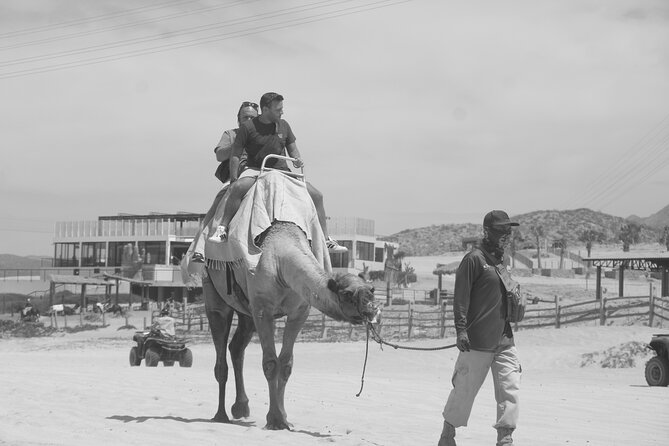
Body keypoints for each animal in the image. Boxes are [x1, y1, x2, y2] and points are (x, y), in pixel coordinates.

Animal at [203, 220, 378, 430]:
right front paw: (274, 419)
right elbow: (271, 363)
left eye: (371, 289)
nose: (372, 309)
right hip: (215, 293)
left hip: (246, 313)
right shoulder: (263, 309)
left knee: (236, 347)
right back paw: (220, 415)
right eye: (347, 294)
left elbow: (286, 364)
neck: (281, 263)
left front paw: (284, 418)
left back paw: (241, 408)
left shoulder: (299, 311)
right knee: (220, 352)